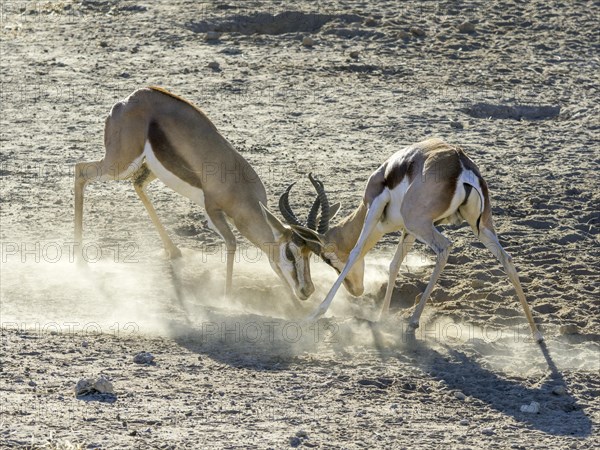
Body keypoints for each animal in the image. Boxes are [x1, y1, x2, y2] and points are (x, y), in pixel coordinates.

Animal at [74, 86, 318, 300]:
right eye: (290, 253)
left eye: (310, 253)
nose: (307, 290)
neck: (241, 190)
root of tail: (128, 100)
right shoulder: (212, 211)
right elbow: (232, 243)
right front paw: (228, 298)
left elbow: (269, 258)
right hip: (119, 164)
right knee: (80, 170)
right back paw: (79, 260)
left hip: (149, 168)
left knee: (137, 184)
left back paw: (174, 252)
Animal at [286, 137, 544, 342]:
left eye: (327, 258)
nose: (356, 290)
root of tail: (461, 164)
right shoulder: (407, 232)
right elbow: (394, 265)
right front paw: (382, 317)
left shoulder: (374, 204)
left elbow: (355, 252)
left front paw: (316, 313)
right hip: (479, 226)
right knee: (507, 259)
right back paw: (537, 334)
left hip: (419, 222)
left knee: (445, 248)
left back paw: (413, 322)